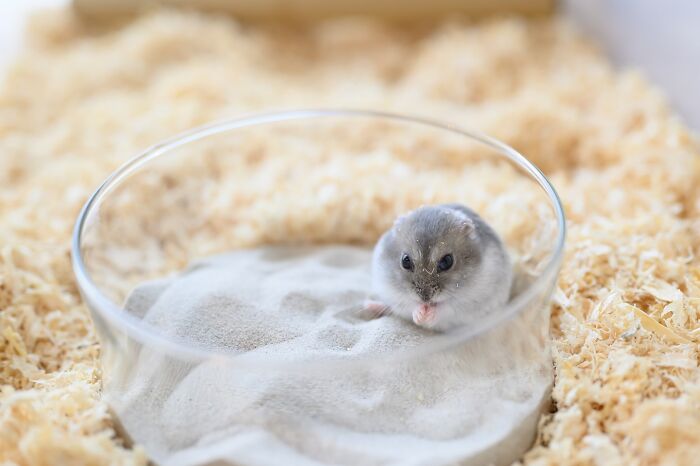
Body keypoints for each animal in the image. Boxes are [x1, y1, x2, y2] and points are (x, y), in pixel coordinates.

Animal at [367, 204, 512, 332]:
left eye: (447, 261)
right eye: (405, 261)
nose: (425, 298)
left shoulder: (468, 301)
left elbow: (446, 308)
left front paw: (427, 315)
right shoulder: (396, 295)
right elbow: (410, 304)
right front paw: (420, 316)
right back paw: (370, 305)